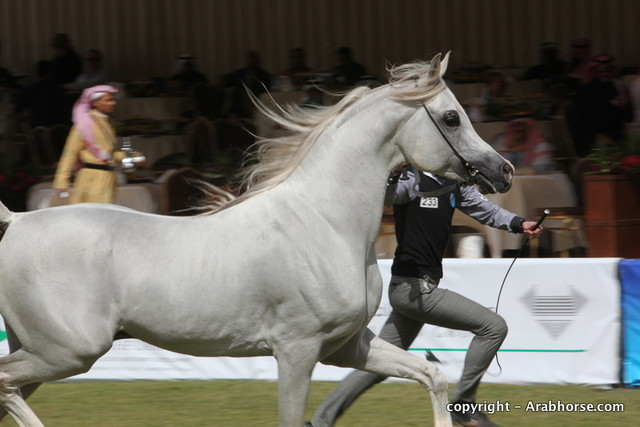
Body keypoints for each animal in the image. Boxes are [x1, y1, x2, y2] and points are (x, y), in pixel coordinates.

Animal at [0, 52, 513, 427]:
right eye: (451, 117)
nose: (503, 171)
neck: (326, 223)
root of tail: (18, 220)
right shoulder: (297, 351)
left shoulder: (347, 346)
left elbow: (432, 375)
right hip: (68, 351)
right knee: (7, 386)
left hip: (43, 350)